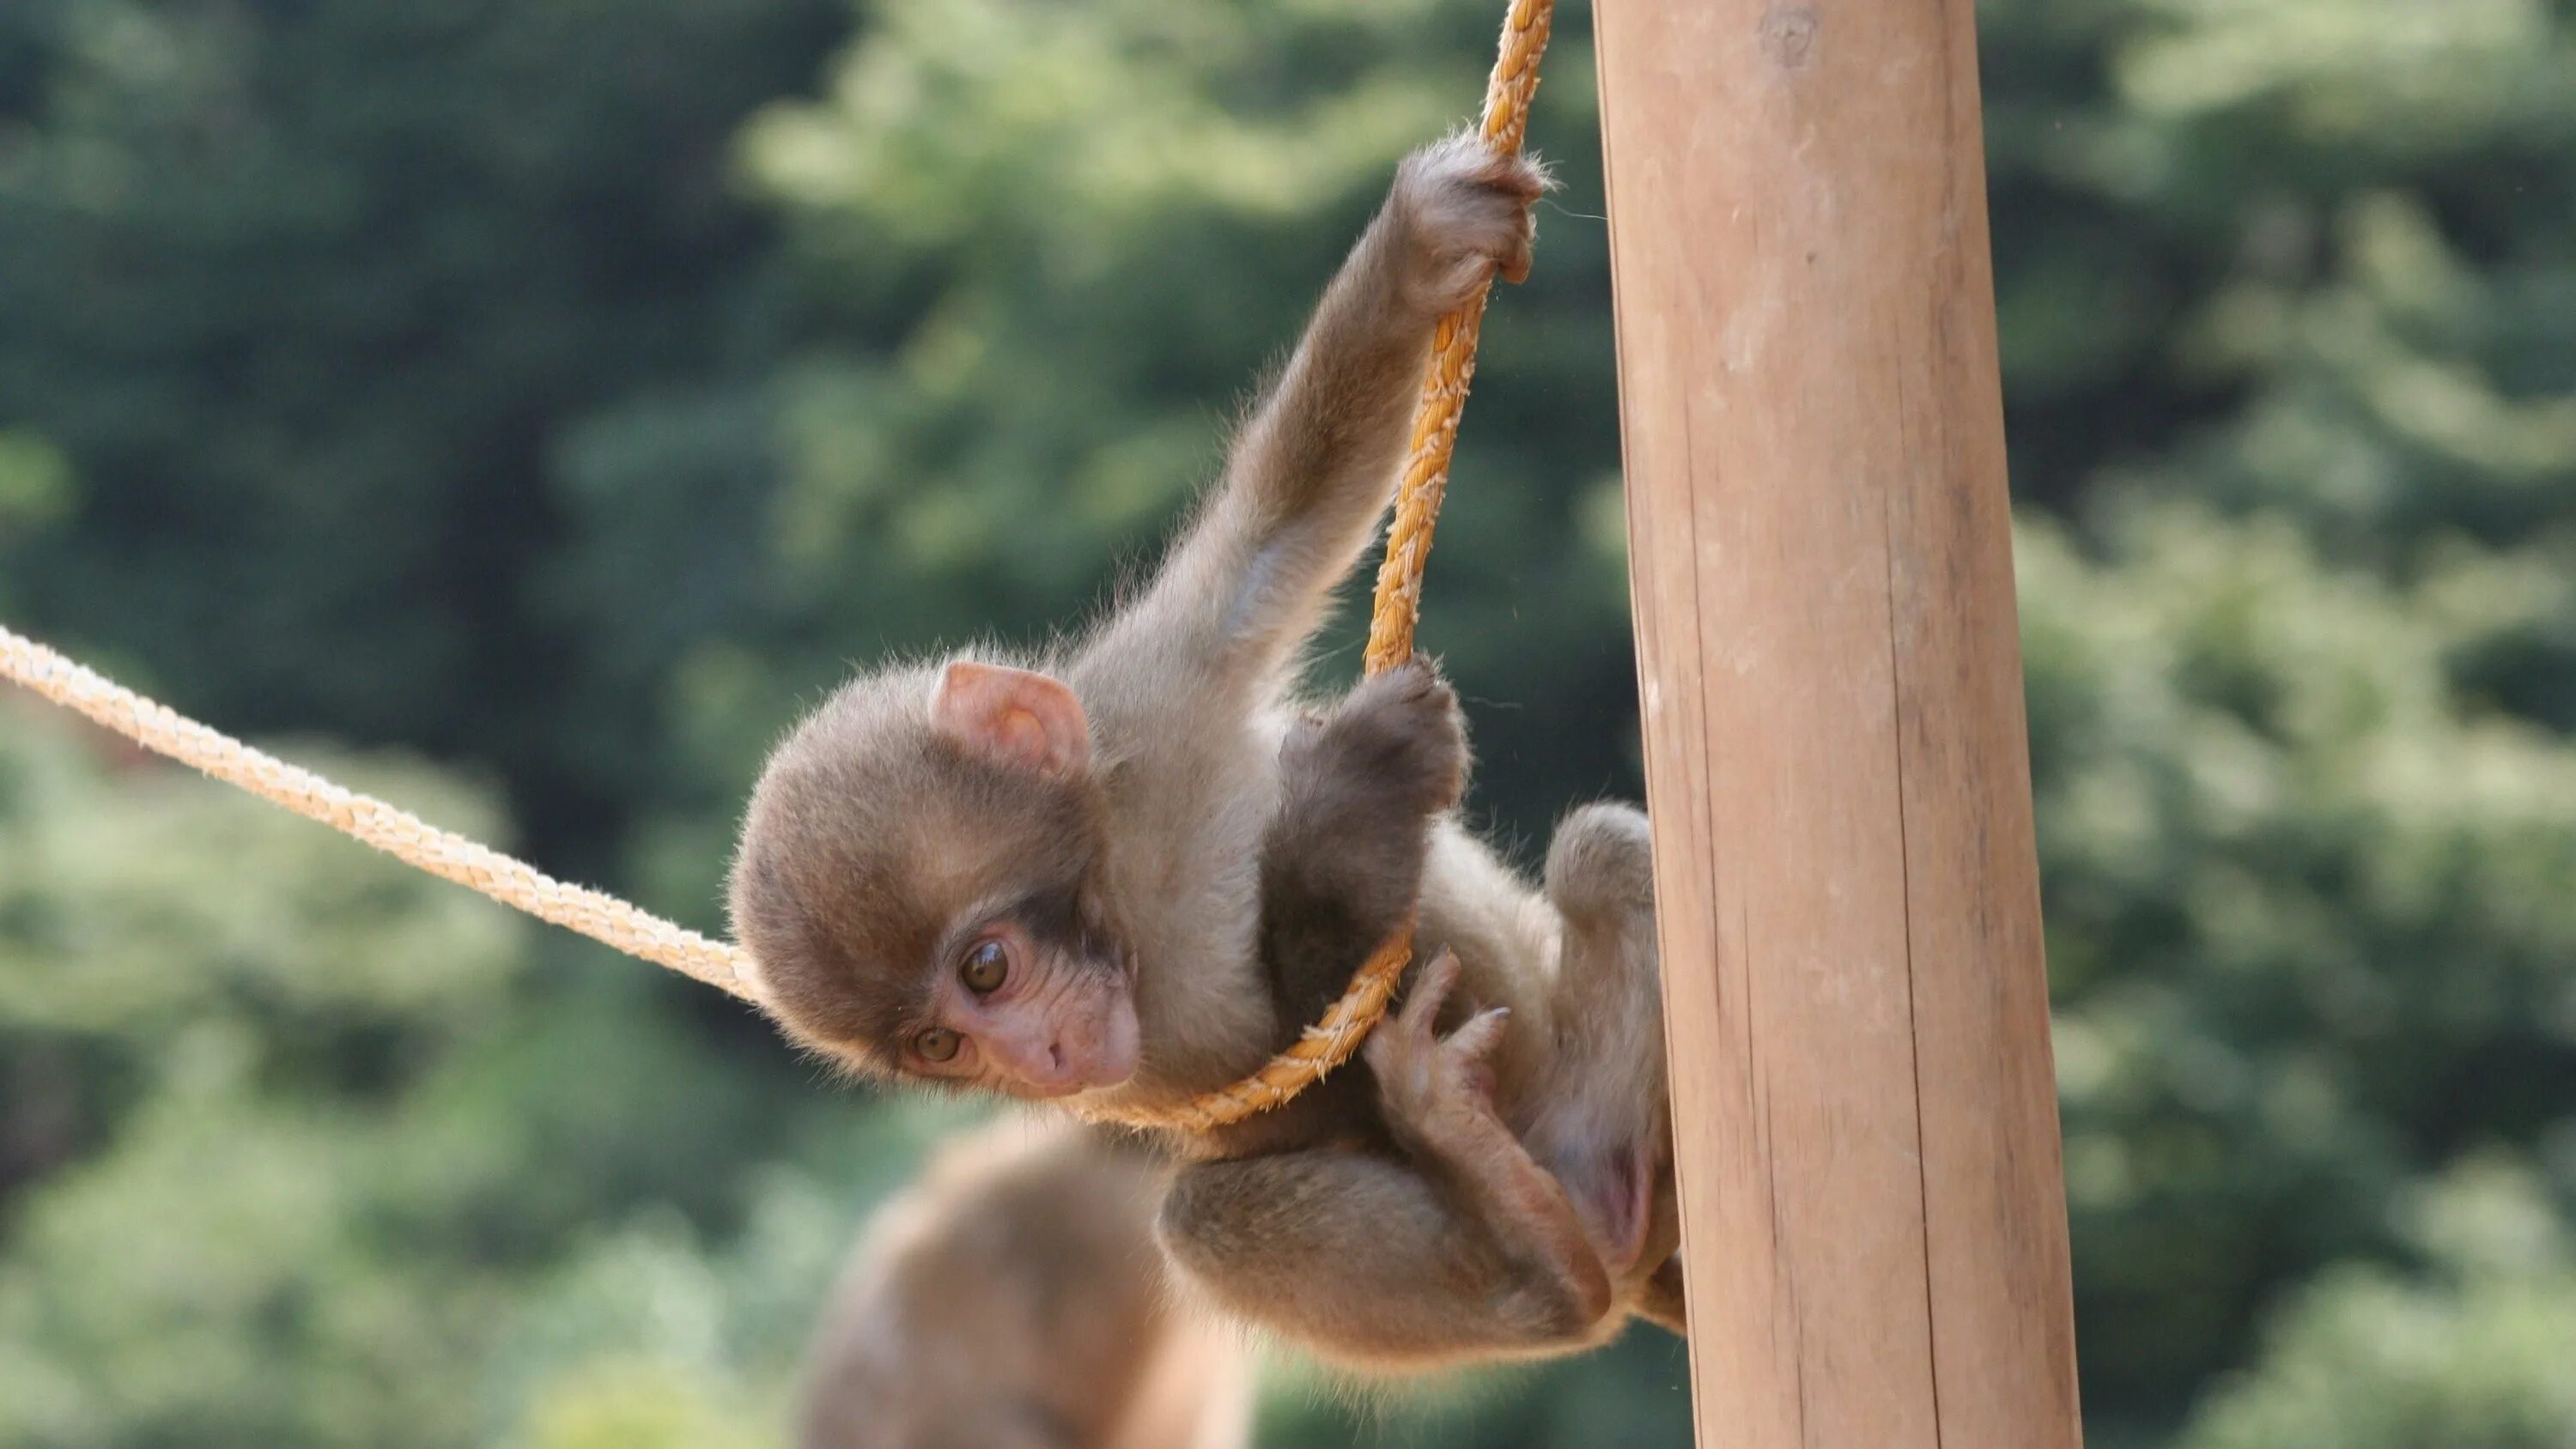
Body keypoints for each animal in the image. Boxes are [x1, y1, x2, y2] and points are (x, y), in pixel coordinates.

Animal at [737, 136, 1680, 1369]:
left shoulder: (1158, 699)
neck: (1128, 901)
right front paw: (1343, 822)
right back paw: (1540, 1254)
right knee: (1209, 1217)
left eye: (986, 969)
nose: (1040, 1059)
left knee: (1601, 856)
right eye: (942, 1045)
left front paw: (1419, 253)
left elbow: (1281, 526)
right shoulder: (1134, 1072)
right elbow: (1304, 1075)